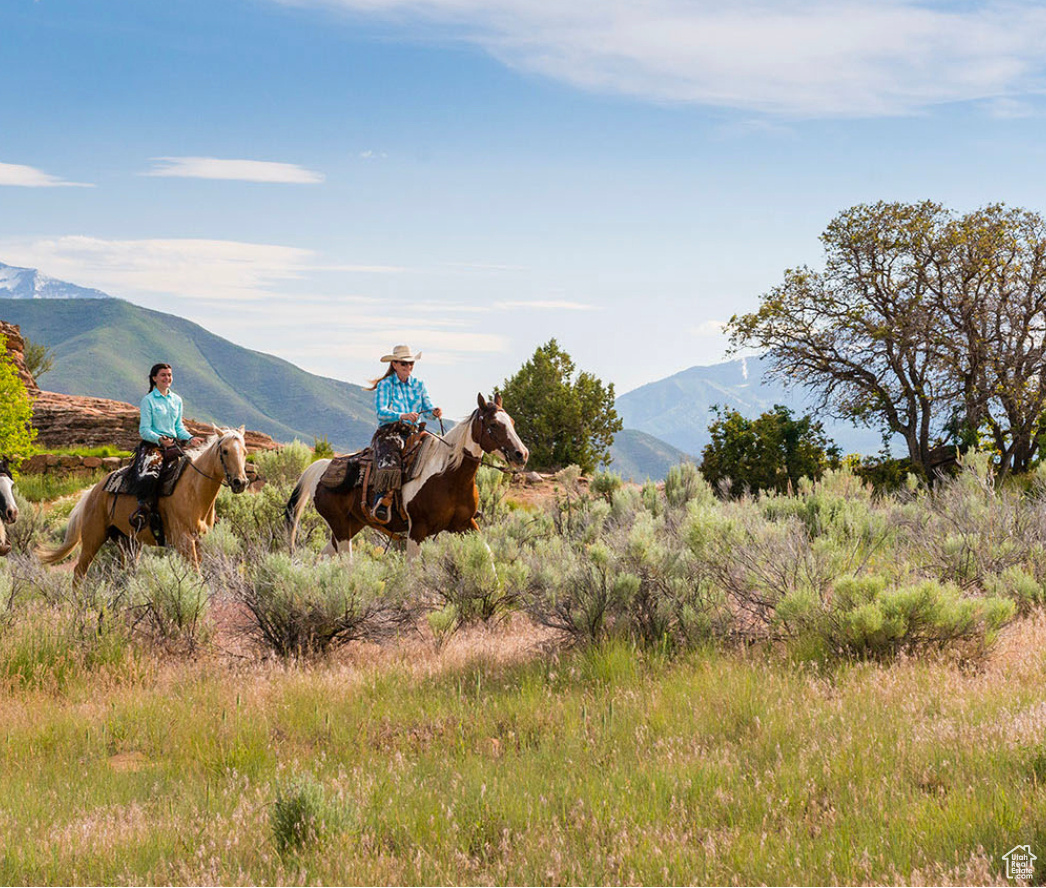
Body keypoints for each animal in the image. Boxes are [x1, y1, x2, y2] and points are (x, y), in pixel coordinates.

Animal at [36, 428, 248, 577]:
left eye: (245, 452)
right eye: (225, 451)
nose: (241, 482)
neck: (194, 490)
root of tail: (93, 492)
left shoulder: (200, 541)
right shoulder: (184, 540)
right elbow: (196, 574)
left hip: (127, 541)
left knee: (126, 570)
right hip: (93, 538)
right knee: (79, 572)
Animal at [284, 393, 527, 556]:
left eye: (513, 422)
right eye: (494, 424)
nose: (521, 454)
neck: (449, 478)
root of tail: (323, 466)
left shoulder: (465, 524)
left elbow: (488, 557)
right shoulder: (416, 530)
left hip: (352, 525)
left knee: (324, 556)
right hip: (340, 526)